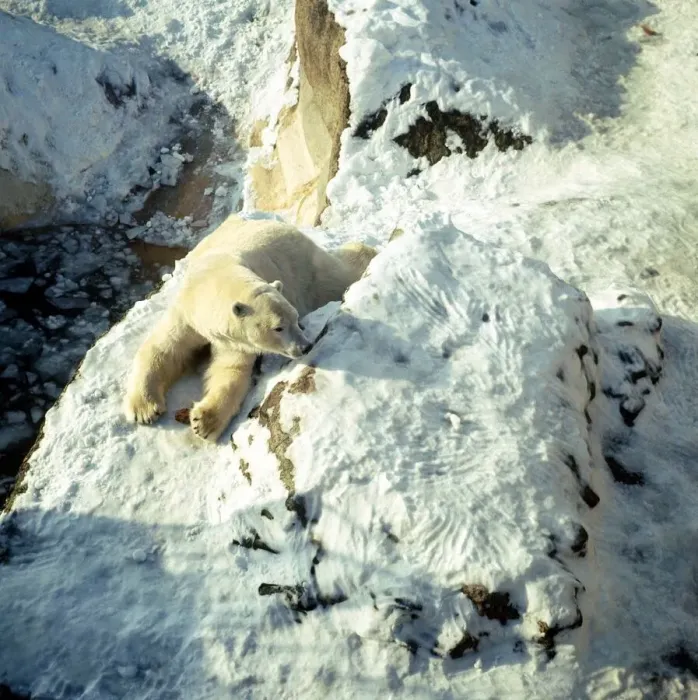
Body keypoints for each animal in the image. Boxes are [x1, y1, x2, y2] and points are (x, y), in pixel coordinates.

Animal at [123, 214, 377, 442]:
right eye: (278, 328)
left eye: (296, 319)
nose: (305, 347)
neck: (216, 278)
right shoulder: (189, 314)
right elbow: (164, 348)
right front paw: (144, 409)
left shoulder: (236, 337)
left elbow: (230, 369)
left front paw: (203, 422)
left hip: (305, 272)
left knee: (336, 275)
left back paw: (366, 251)